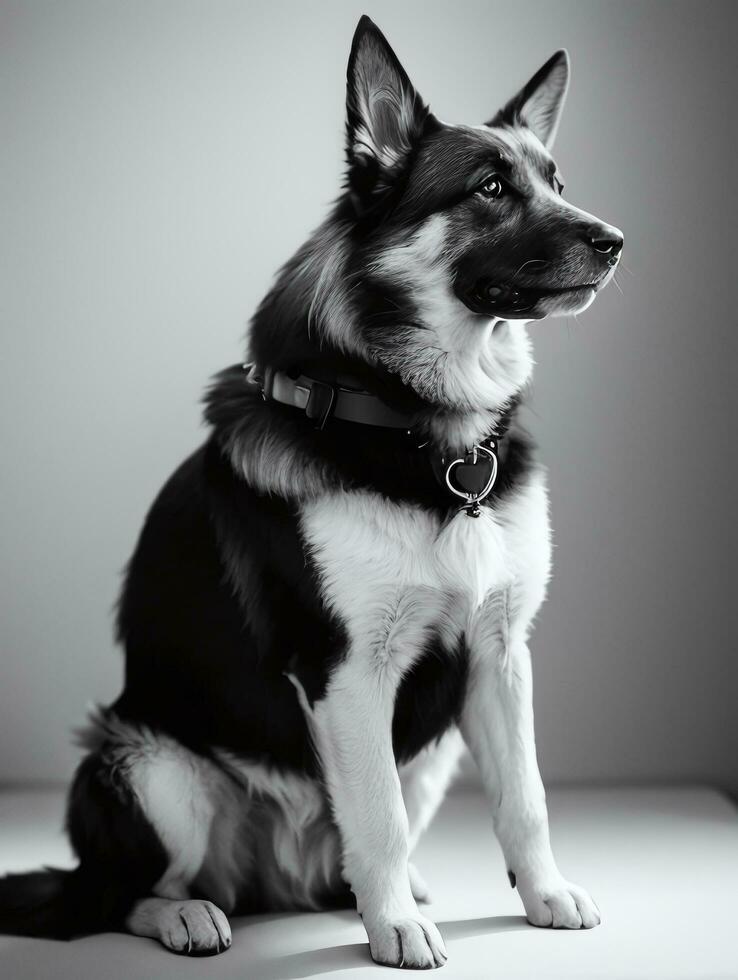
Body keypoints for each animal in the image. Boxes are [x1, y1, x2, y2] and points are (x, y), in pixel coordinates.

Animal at [0, 17, 620, 972]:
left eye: (558, 183)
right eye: (489, 188)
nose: (617, 240)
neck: (417, 428)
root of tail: (273, 879)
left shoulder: (499, 657)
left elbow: (526, 797)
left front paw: (543, 894)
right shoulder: (347, 670)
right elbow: (379, 815)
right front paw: (396, 929)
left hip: (434, 746)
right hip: (152, 768)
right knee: (116, 895)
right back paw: (189, 916)